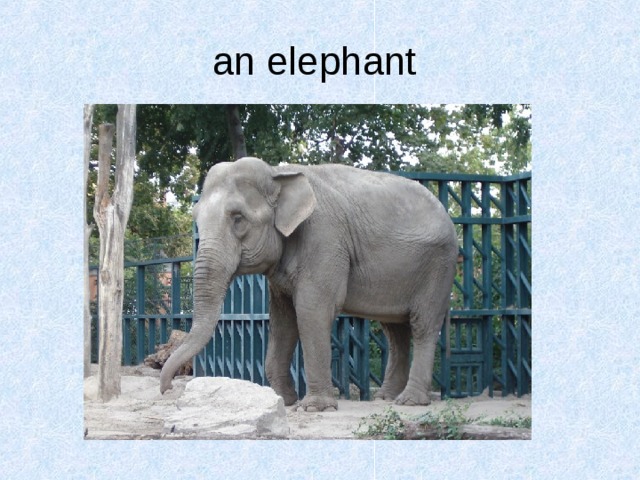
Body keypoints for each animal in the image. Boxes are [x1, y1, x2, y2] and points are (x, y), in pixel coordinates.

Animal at [160, 156, 458, 411]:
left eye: (238, 218)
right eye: (196, 218)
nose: (167, 390)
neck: (278, 173)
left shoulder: (324, 238)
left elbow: (311, 310)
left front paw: (314, 407)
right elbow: (283, 319)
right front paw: (283, 400)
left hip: (439, 266)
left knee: (422, 324)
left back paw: (410, 402)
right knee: (395, 330)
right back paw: (386, 398)